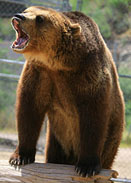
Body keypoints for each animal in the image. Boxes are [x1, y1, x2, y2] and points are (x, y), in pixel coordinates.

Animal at [9, 6, 125, 177]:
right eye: (26, 10)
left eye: (40, 18)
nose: (18, 16)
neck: (58, 63)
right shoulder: (39, 72)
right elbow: (29, 108)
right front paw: (20, 157)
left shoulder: (88, 74)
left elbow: (93, 116)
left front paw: (86, 167)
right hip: (57, 139)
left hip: (112, 136)